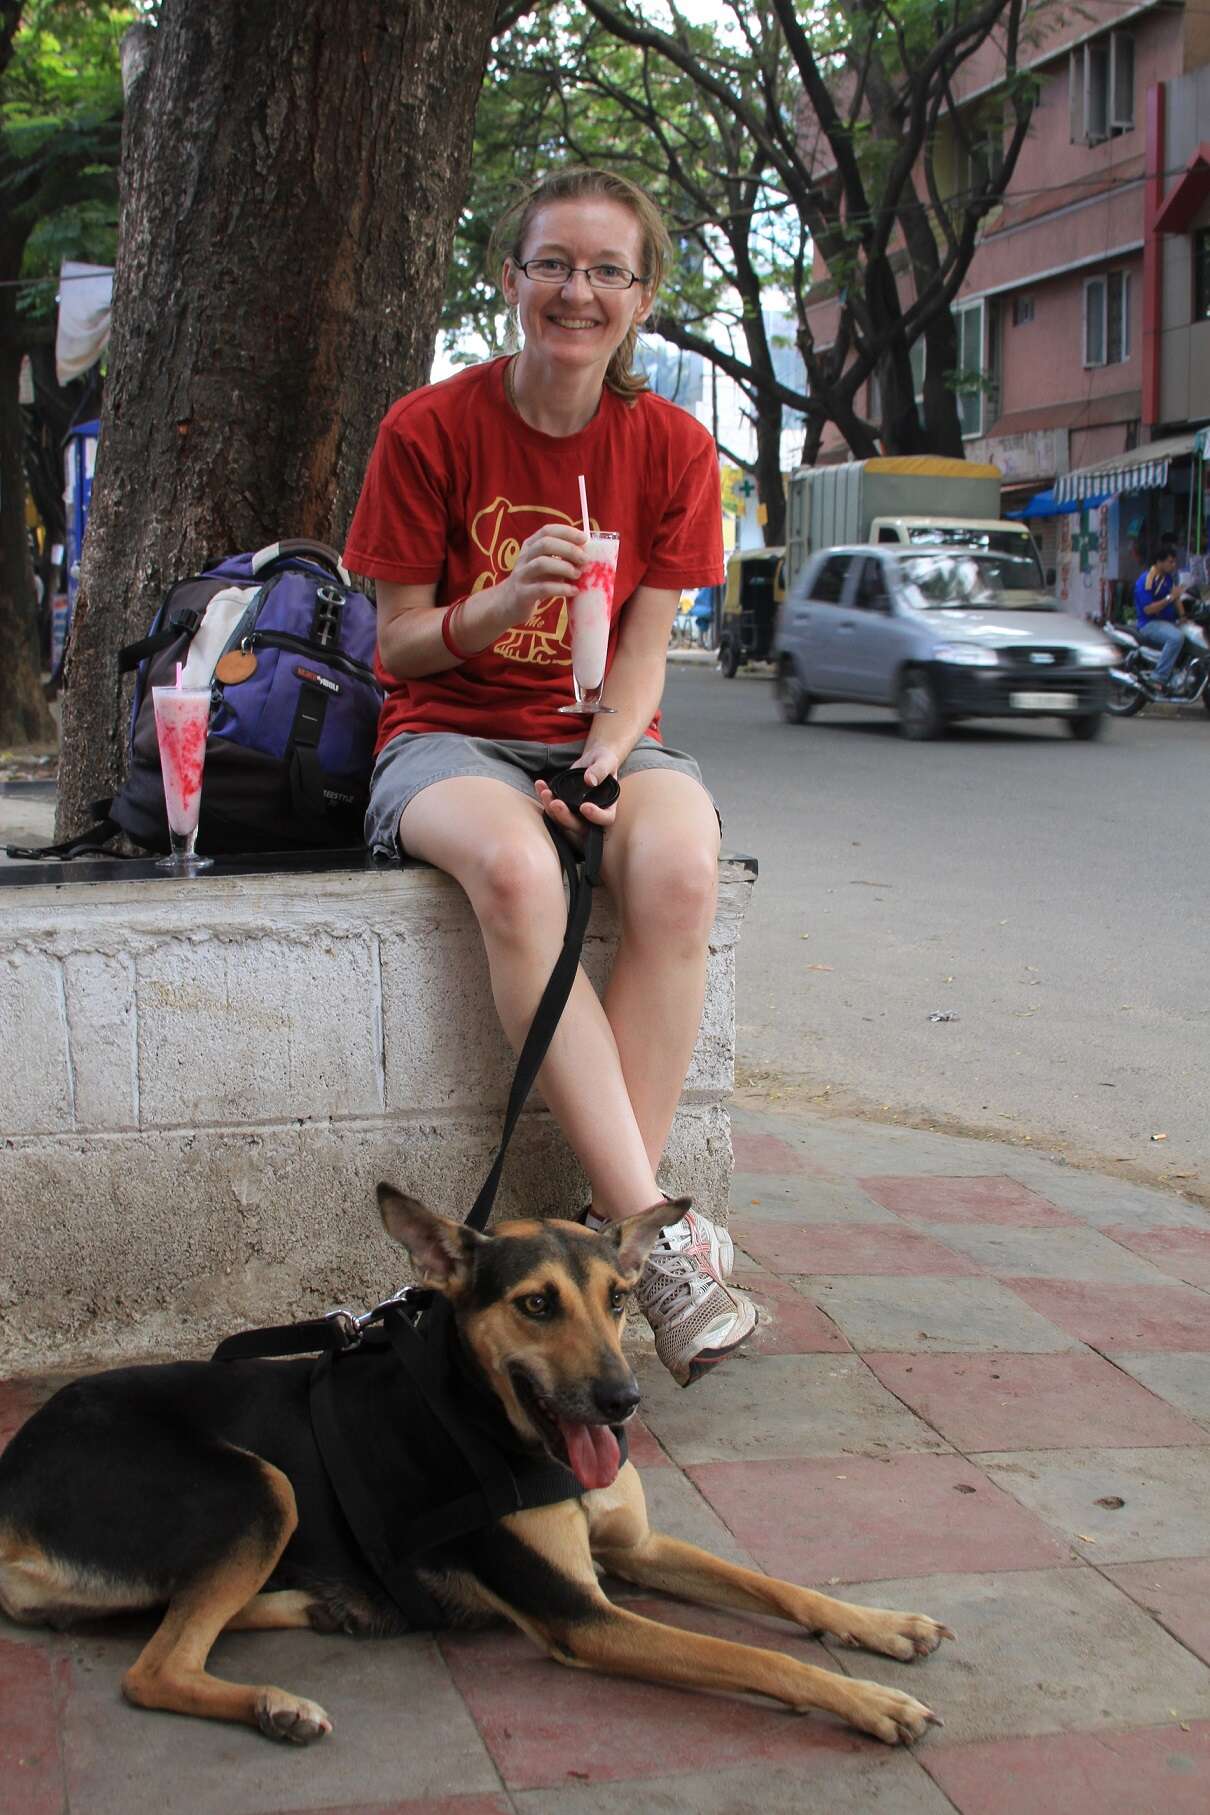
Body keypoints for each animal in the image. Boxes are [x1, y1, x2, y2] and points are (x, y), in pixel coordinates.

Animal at [0, 1190, 957, 1742]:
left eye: (619, 1299)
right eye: (536, 1305)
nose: (622, 1401)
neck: (504, 1428)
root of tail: (11, 1475)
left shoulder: (635, 1547)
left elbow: (776, 1588)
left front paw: (882, 1624)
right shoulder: (582, 1614)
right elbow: (752, 1656)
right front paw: (873, 1702)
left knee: (179, 1624)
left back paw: (327, 1612)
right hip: (258, 1488)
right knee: (154, 1668)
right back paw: (280, 1702)